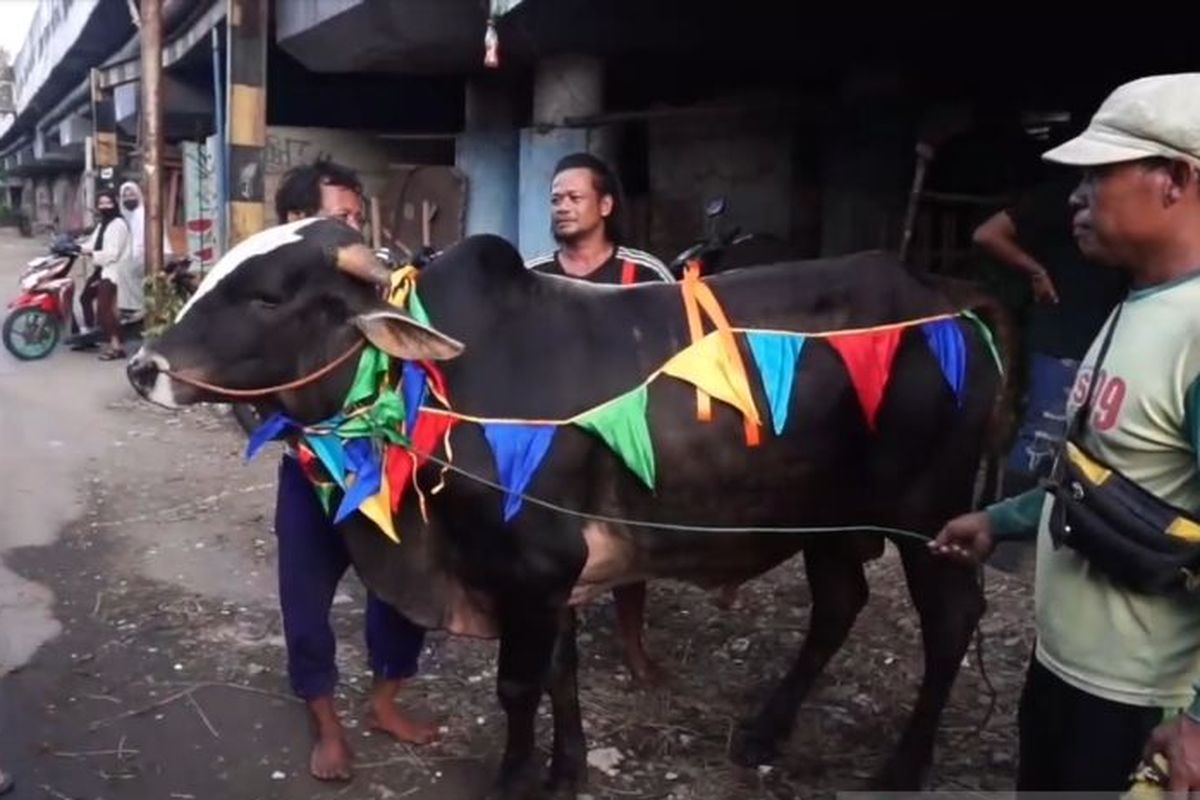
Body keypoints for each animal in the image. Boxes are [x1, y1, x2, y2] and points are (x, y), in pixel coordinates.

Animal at [126, 215, 1008, 796]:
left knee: (949, 621)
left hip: (925, 516)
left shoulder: (532, 566)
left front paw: (516, 779)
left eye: (270, 298)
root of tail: (951, 301)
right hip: (826, 517)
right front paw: (566, 770)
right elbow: (561, 673)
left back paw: (901, 768)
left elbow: (520, 685)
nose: (142, 365)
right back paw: (764, 732)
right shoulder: (552, 577)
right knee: (839, 603)